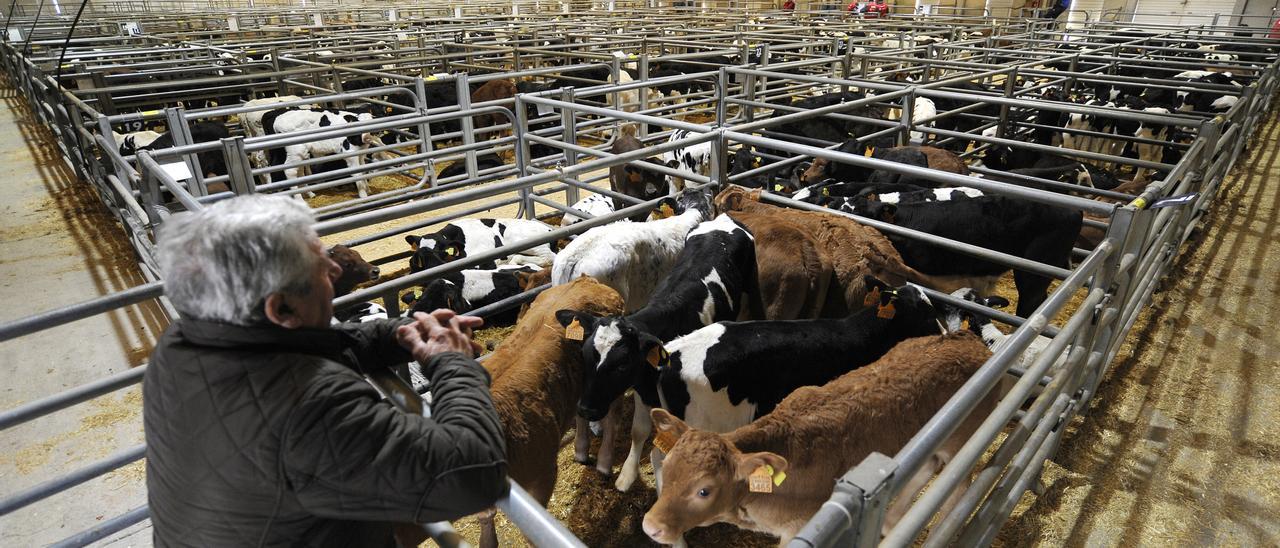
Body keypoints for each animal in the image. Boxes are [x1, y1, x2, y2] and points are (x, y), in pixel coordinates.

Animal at [555, 212, 752, 489]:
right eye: (585, 355)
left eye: (623, 363)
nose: (586, 409)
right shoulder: (643, 387)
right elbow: (639, 429)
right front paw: (627, 475)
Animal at [645, 330, 993, 542]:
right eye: (668, 469)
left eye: (704, 490)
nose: (650, 526)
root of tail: (968, 339)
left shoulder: (801, 526)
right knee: (925, 469)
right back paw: (892, 522)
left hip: (965, 440)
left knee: (961, 486)